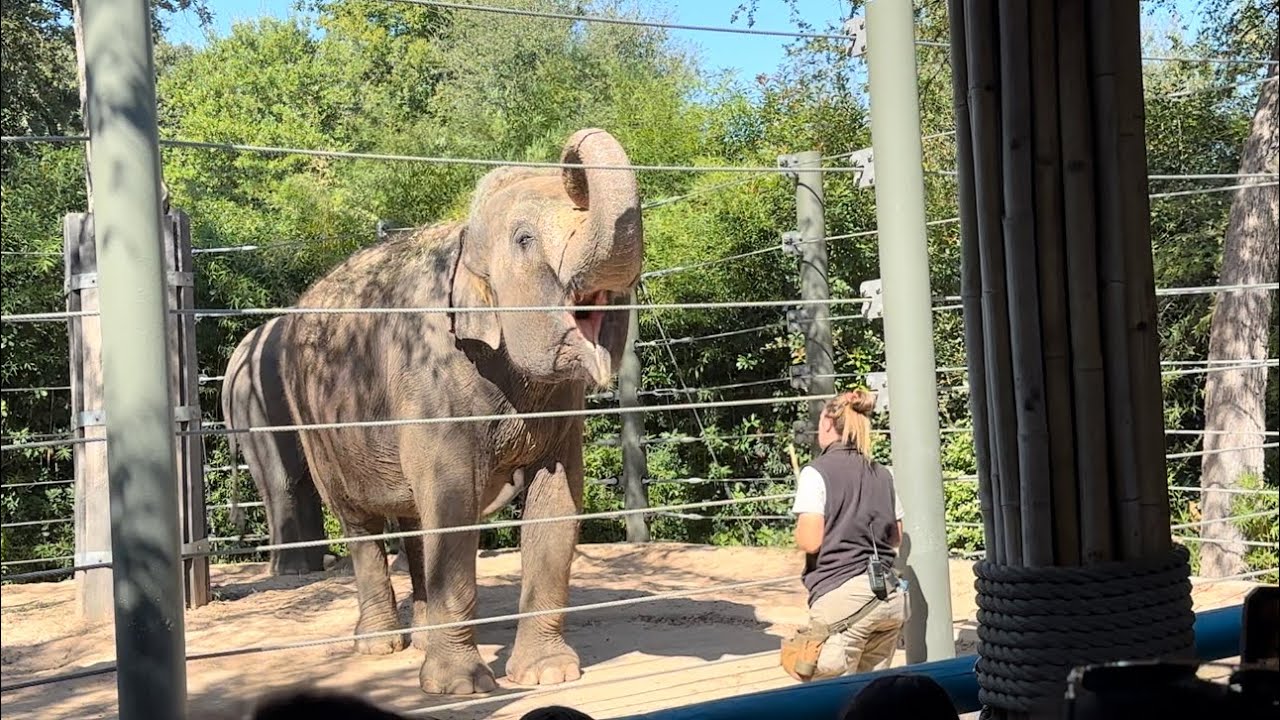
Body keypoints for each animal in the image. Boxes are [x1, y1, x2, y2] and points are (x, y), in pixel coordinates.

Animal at [275, 128, 643, 695]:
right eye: (524, 239)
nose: (570, 150)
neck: (467, 242)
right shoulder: (432, 379)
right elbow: (453, 503)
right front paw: (461, 687)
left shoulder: (561, 404)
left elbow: (557, 501)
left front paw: (547, 674)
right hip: (312, 419)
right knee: (360, 522)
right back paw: (381, 646)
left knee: (413, 519)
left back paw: (422, 638)